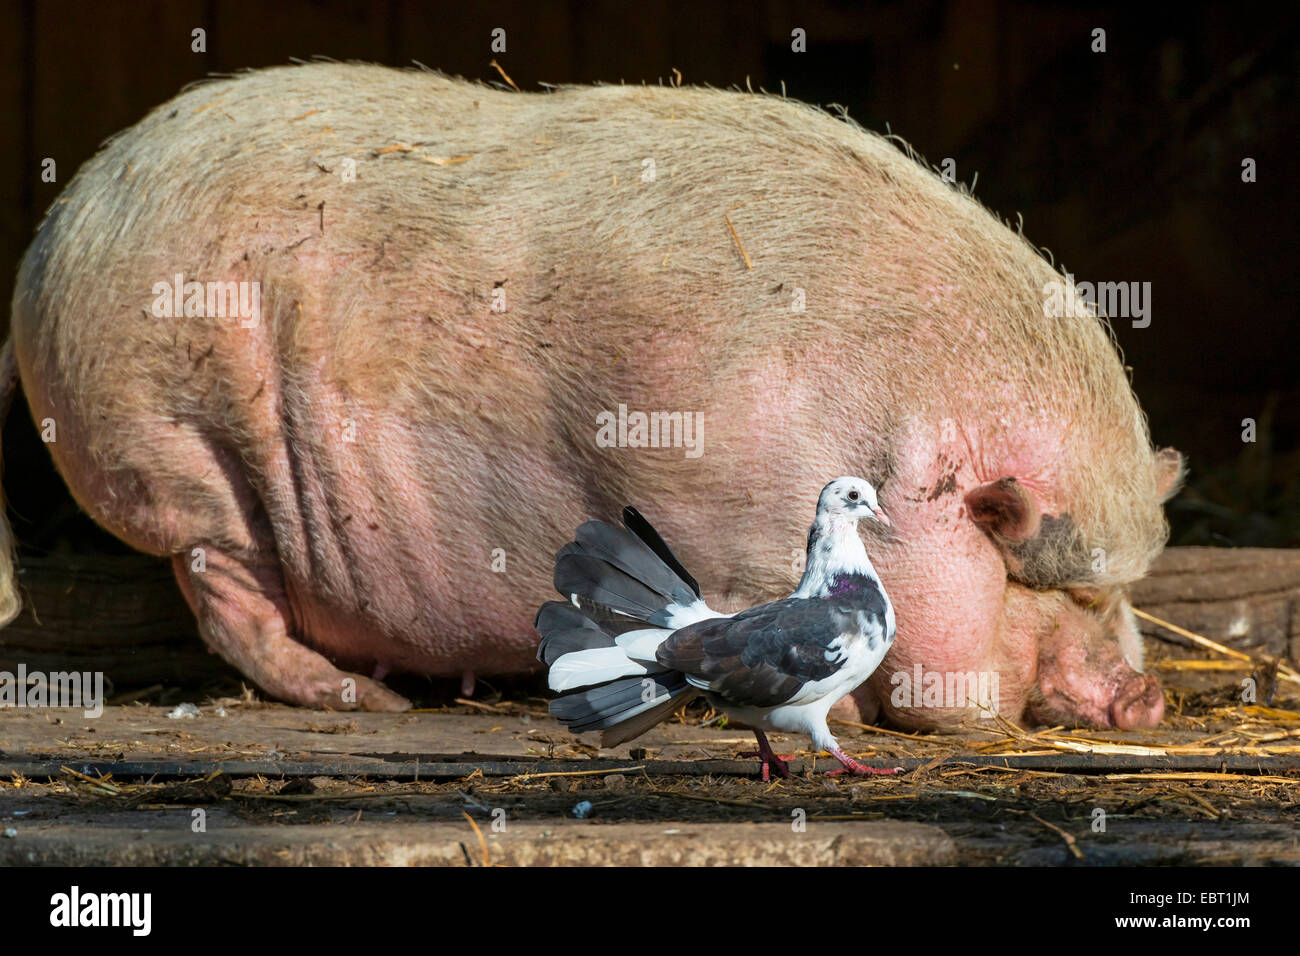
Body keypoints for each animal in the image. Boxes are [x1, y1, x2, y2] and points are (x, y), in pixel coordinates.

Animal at [1, 63, 1183, 729]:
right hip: (177, 440)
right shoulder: (709, 508)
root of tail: (54, 232)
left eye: (1122, 588)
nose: (1149, 694)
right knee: (226, 592)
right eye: (1039, 581)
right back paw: (375, 700)